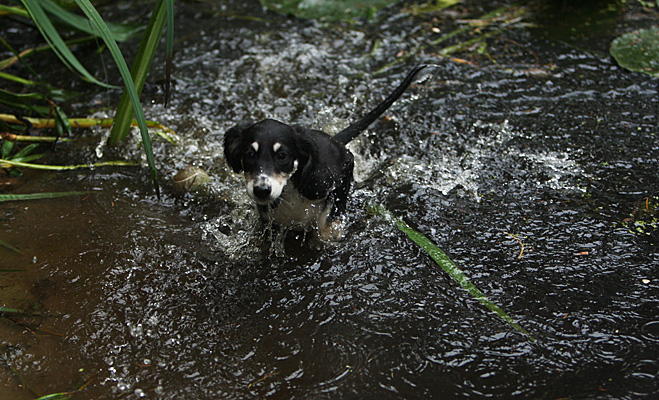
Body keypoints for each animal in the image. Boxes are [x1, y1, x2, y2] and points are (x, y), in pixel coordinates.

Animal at [224, 65, 430, 241]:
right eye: (249, 155)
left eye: (282, 156)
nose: (261, 190)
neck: (290, 189)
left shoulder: (341, 171)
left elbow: (328, 220)